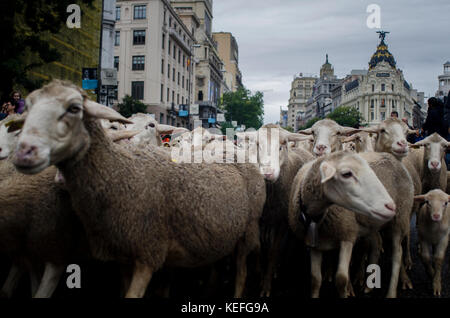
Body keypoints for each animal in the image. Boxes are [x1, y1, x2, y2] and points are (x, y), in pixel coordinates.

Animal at [13, 80, 268, 298]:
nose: (24, 151)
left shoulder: (149, 251)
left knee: (241, 273)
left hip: (248, 231)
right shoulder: (125, 254)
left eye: (74, 108)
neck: (122, 170)